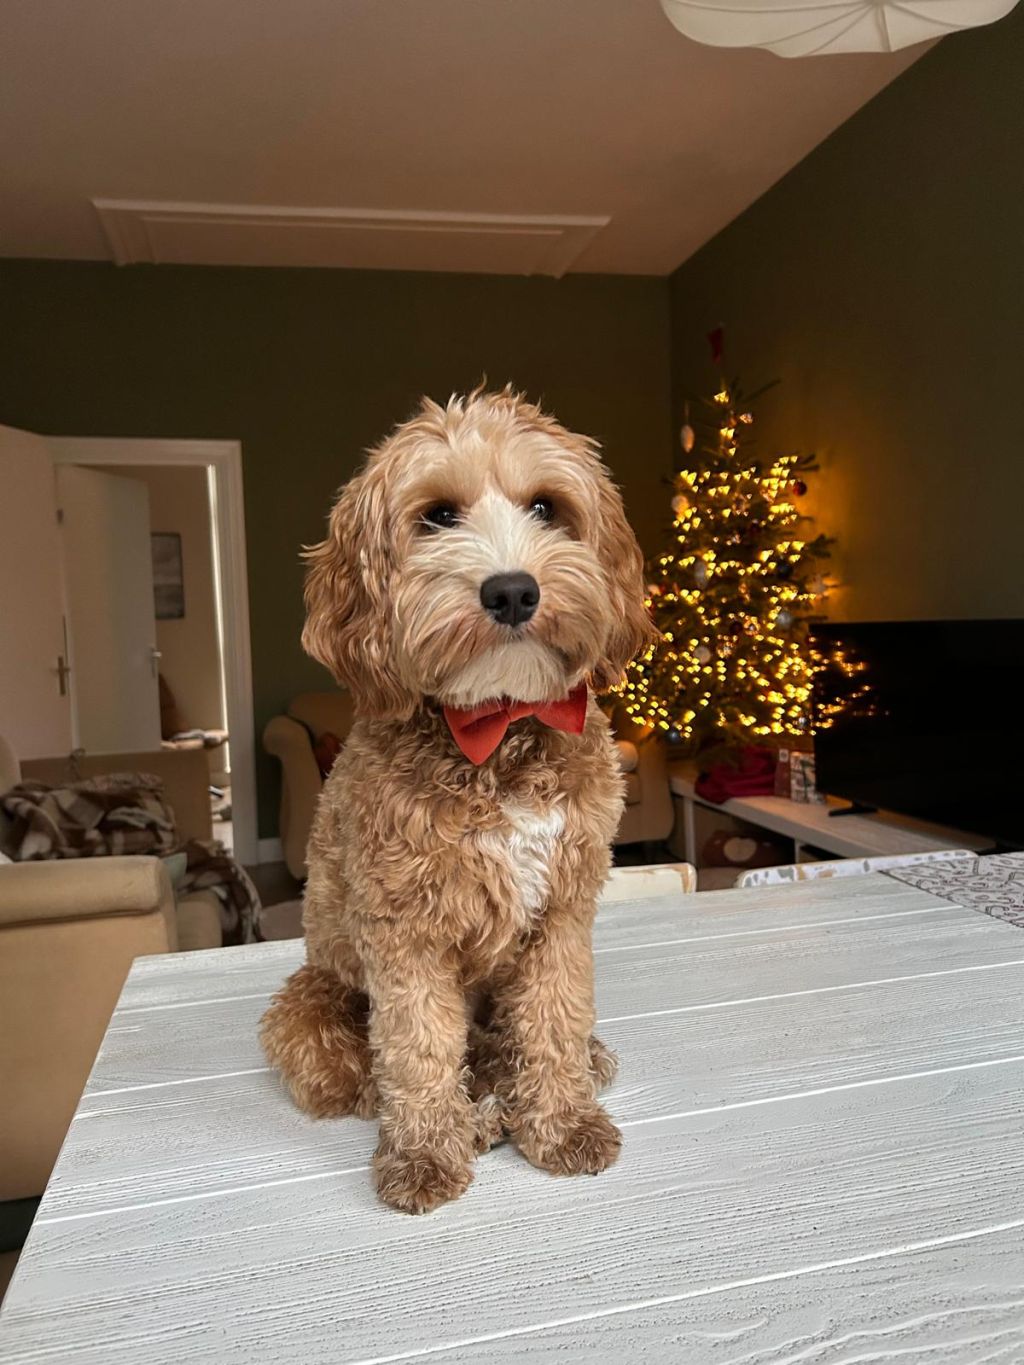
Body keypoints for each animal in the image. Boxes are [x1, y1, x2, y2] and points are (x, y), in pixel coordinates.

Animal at [260, 388, 656, 1214]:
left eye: (546, 506)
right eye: (438, 515)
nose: (512, 589)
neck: (497, 729)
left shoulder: (562, 911)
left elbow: (553, 1020)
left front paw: (563, 1122)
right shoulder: (403, 929)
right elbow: (417, 1046)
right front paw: (424, 1153)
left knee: (507, 1044)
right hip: (309, 1006)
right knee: (369, 1073)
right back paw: (471, 1117)